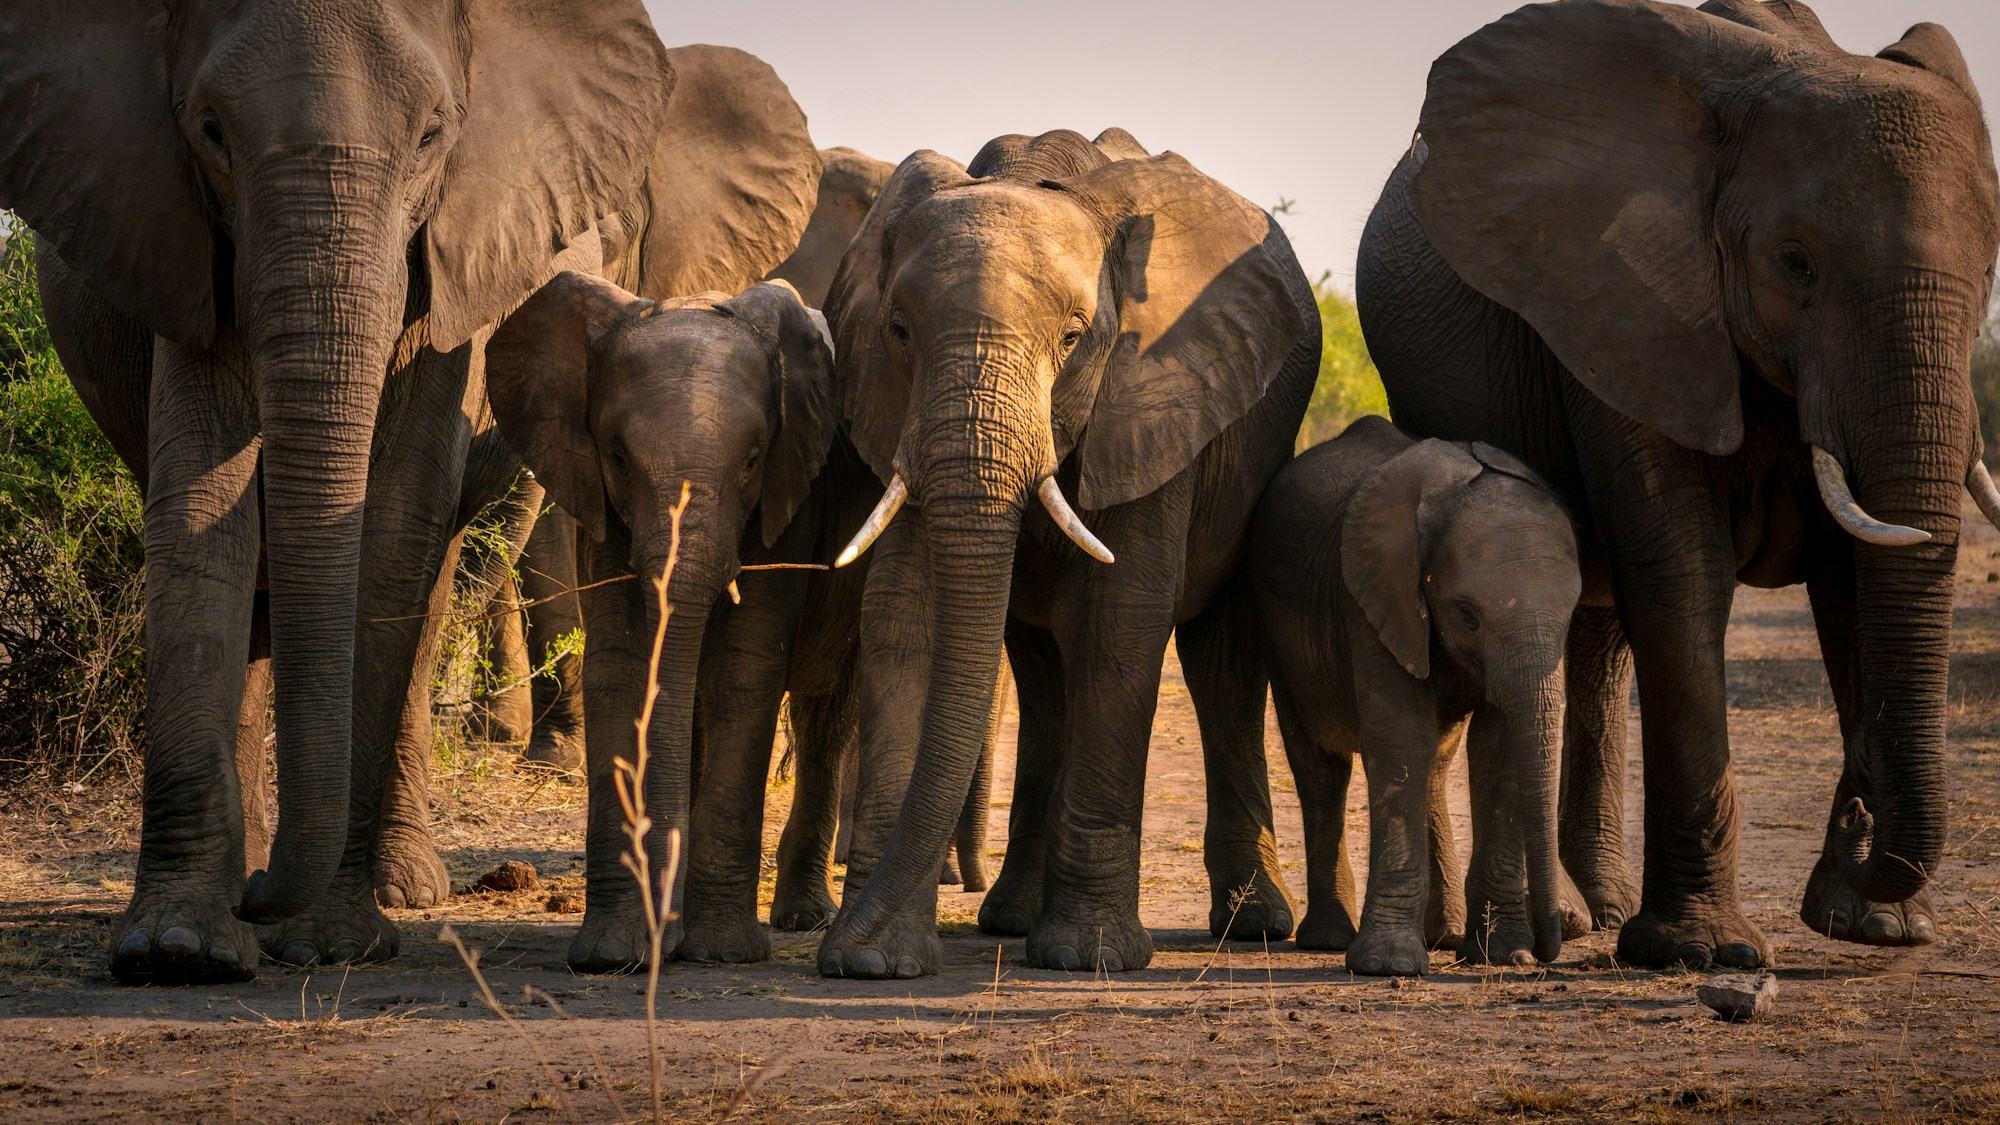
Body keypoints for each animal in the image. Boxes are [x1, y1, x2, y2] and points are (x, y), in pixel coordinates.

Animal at [0, 0, 819, 984]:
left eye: (433, 135)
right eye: (209, 131)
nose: (268, 900)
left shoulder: (455, 274)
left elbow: (392, 523)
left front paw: (331, 942)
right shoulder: (187, 239)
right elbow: (199, 508)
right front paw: (179, 948)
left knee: (421, 585)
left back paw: (393, 886)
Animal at [817, 128, 1320, 978]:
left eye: (1074, 339)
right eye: (899, 331)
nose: (841, 940)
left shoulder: (1153, 393)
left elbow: (1120, 621)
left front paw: (1088, 956)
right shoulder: (897, 408)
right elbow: (904, 615)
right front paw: (874, 959)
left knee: (1218, 662)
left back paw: (1254, 926)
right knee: (1045, 672)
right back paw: (1010, 917)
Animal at [1250, 416, 1586, 974]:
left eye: (1572, 612)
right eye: (1467, 615)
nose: (1546, 950)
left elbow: (1497, 751)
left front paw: (1503, 954)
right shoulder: (1373, 599)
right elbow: (1401, 740)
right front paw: (1389, 966)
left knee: (1437, 759)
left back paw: (1444, 935)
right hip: (1281, 639)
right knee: (1320, 768)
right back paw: (1330, 938)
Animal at [1354, 0, 2000, 969]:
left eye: (1991, 270)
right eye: (1796, 262)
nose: (1860, 815)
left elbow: (1858, 578)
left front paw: (1875, 925)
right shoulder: (1615, 303)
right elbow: (1683, 569)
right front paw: (1703, 951)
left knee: (1596, 636)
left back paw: (1600, 908)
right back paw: (1575, 920)